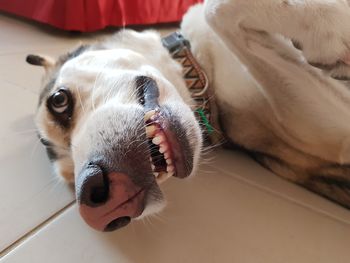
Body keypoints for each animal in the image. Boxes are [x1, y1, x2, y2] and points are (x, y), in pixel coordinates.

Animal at [26, 0, 350, 231]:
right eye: (70, 178)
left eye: (58, 101)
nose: (99, 204)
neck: (199, 66)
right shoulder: (333, 129)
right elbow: (216, 10)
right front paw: (330, 29)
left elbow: (214, 7)